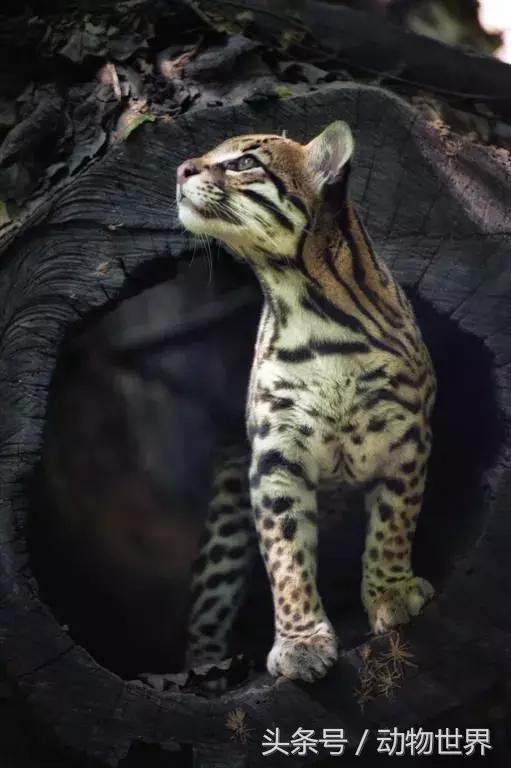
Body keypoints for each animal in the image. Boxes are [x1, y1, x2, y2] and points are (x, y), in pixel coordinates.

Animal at [176, 121, 436, 683]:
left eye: (243, 162)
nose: (182, 168)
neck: (304, 306)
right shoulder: (275, 457)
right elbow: (285, 553)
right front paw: (301, 641)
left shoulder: (405, 435)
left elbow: (393, 523)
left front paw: (390, 592)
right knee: (206, 607)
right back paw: (206, 670)